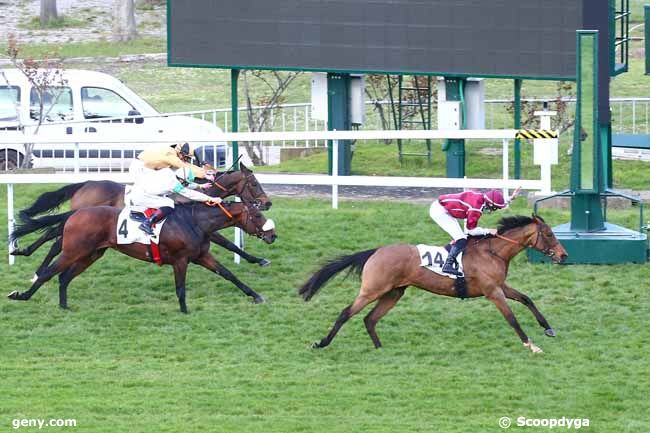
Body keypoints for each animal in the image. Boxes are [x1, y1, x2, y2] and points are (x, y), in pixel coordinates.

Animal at [7, 201, 276, 312]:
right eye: (257, 216)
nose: (272, 235)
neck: (195, 222)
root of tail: (75, 213)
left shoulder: (202, 256)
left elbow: (230, 275)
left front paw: (256, 296)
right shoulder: (180, 260)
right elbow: (180, 287)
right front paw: (184, 310)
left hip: (91, 254)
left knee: (63, 278)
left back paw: (64, 305)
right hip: (74, 250)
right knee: (47, 273)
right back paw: (21, 295)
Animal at [12, 162, 270, 276]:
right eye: (254, 184)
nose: (267, 202)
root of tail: (84, 184)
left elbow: (229, 244)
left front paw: (257, 259)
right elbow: (228, 243)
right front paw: (258, 259)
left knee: (54, 235)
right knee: (54, 237)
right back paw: (34, 265)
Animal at [298, 214, 568, 352]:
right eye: (549, 234)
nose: (564, 255)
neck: (494, 251)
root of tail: (375, 251)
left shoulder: (500, 286)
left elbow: (527, 299)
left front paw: (548, 328)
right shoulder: (492, 291)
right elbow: (511, 318)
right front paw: (531, 345)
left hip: (394, 293)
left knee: (370, 319)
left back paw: (380, 348)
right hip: (373, 289)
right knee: (347, 312)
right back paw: (322, 343)